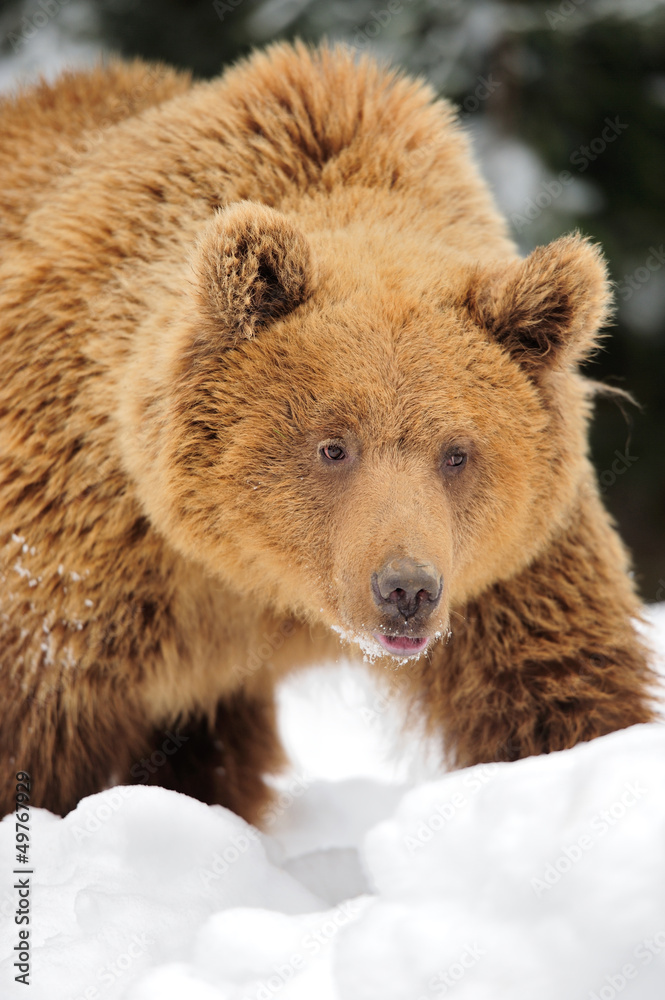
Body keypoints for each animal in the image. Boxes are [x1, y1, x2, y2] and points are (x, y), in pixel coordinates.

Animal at [0, 42, 656, 824]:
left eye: (457, 452)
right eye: (332, 445)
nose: (406, 588)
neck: (259, 578)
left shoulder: (507, 566)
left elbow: (557, 688)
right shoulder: (81, 552)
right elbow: (34, 717)